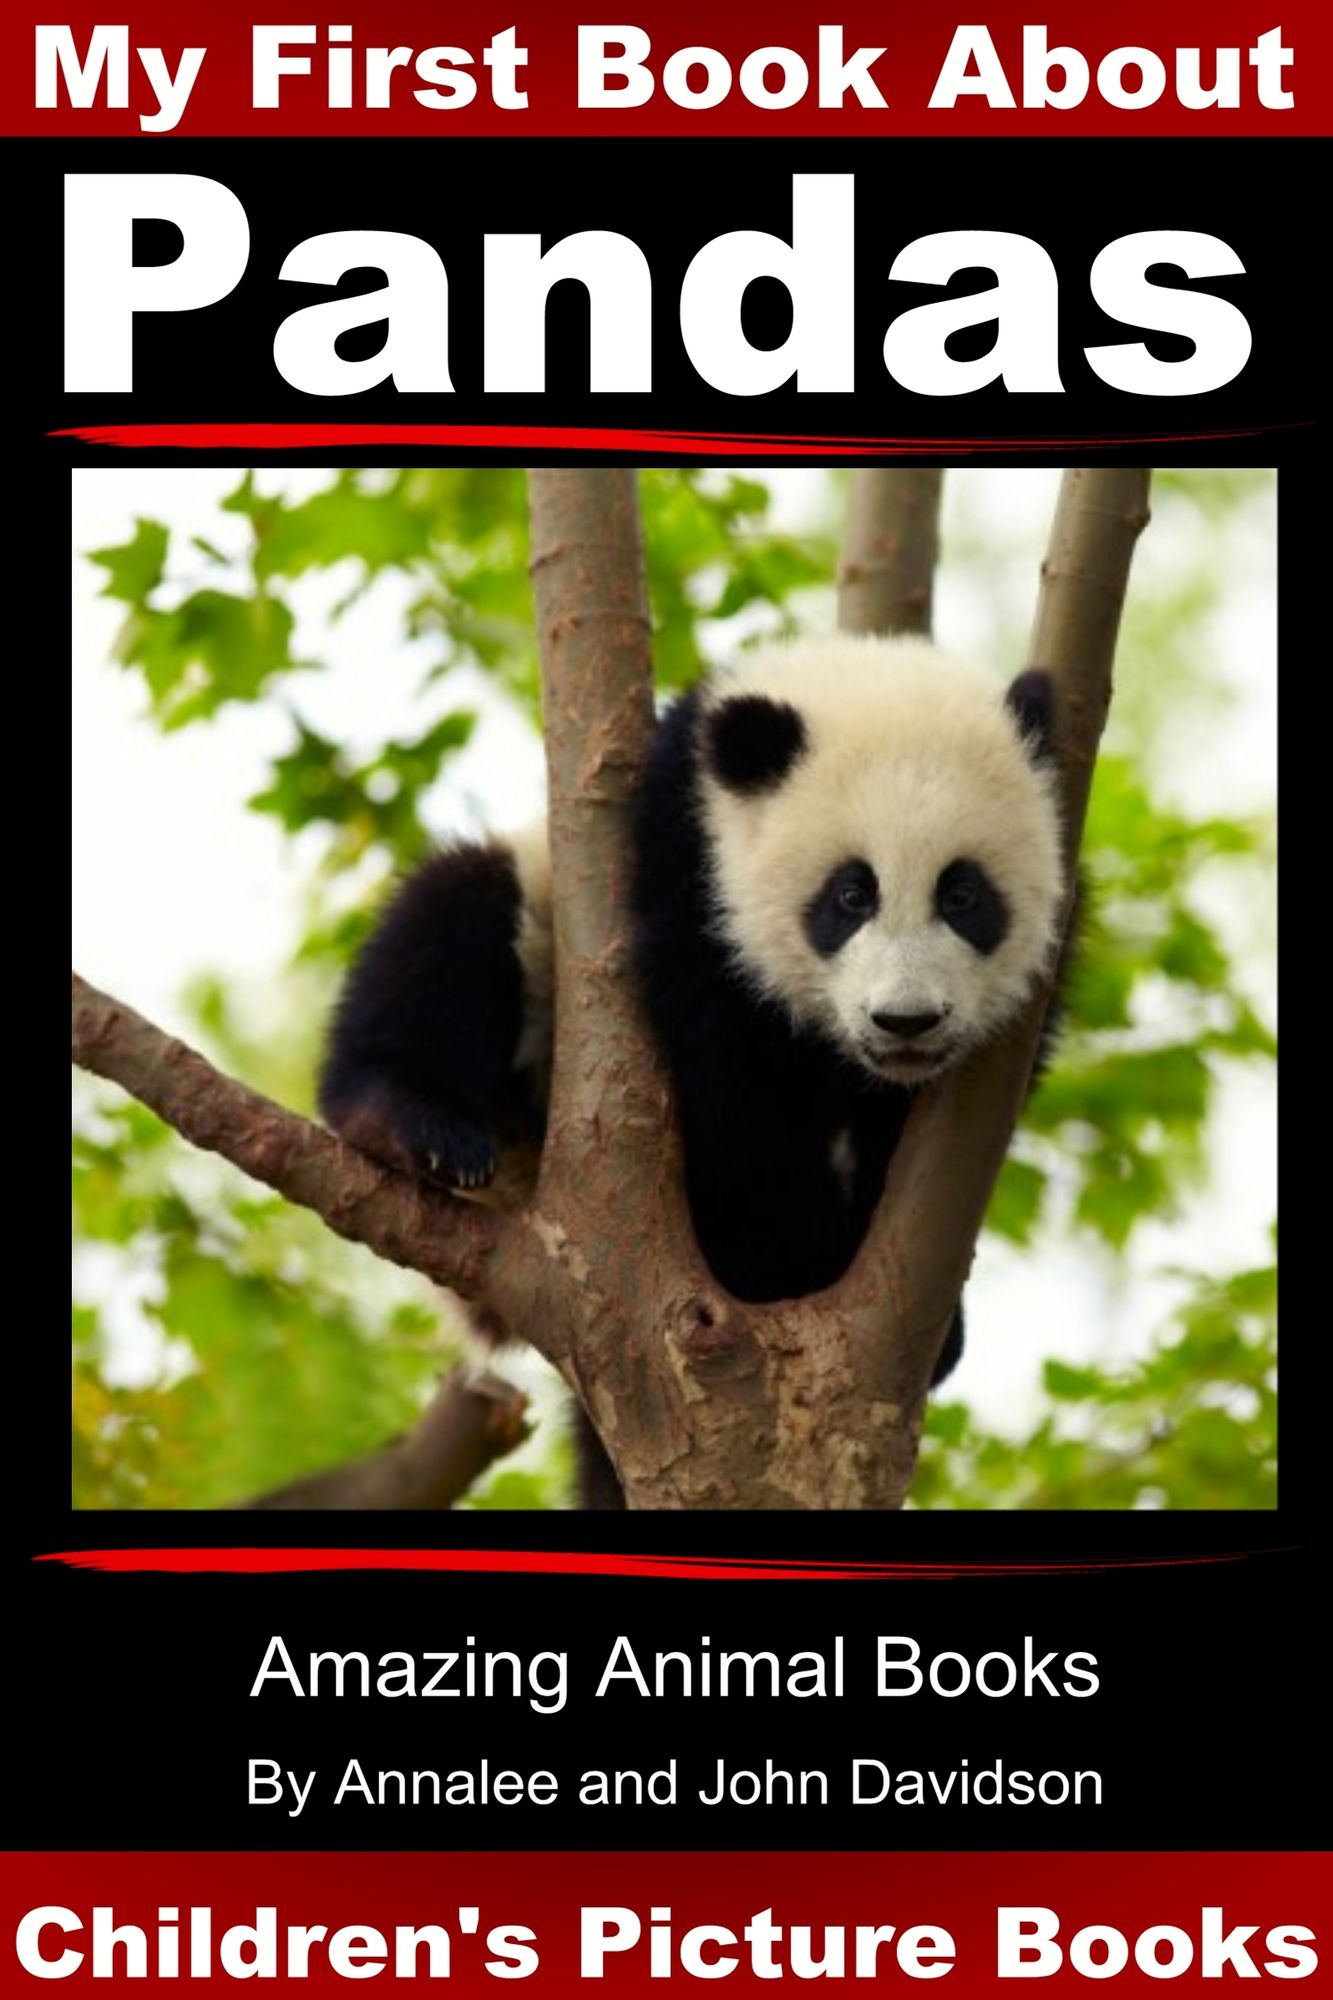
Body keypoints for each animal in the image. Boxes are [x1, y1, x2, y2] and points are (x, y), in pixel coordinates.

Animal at [320, 635, 1067, 1503]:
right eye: (849, 895)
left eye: (962, 895)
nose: (905, 1021)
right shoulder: (685, 870)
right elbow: (733, 1104)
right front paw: (778, 1268)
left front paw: (922, 1315)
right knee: (448, 923)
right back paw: (410, 1125)